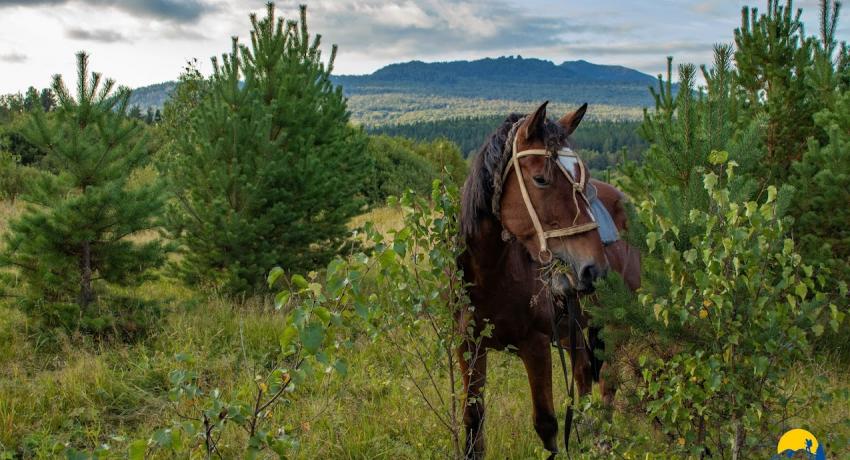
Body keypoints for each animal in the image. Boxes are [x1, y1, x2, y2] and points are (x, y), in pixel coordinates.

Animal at [454, 100, 640, 456]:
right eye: (541, 179)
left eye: (584, 178)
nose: (594, 269)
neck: (491, 274)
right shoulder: (469, 346)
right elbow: (473, 423)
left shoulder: (536, 346)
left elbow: (546, 425)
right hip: (573, 329)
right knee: (583, 374)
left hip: (613, 326)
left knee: (609, 383)